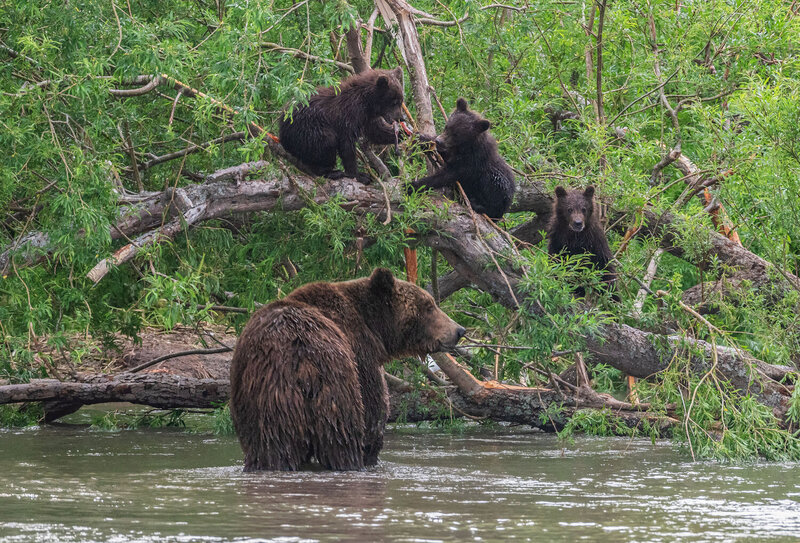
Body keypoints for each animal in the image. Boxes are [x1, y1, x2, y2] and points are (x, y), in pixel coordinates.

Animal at [229, 267, 466, 471]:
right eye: (429, 306)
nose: (459, 330)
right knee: (342, 438)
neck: (375, 328)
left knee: (270, 448)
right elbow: (374, 411)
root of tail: (300, 361)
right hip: (334, 386)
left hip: (263, 402)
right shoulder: (361, 355)